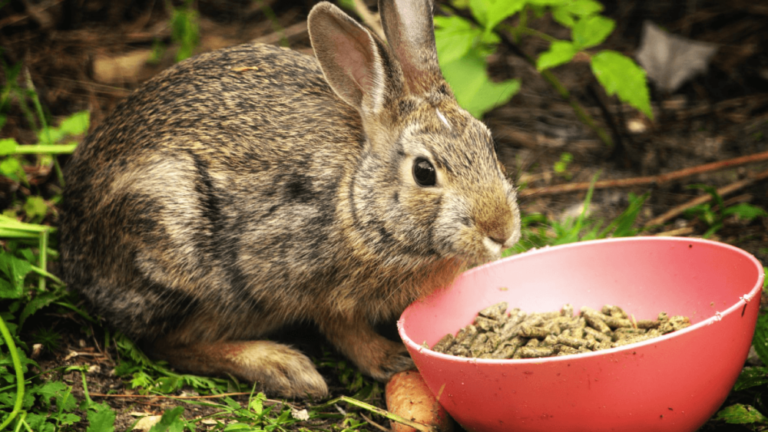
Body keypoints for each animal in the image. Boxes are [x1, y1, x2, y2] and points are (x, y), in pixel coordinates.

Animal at [60, 0, 521, 398]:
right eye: (424, 172)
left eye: (490, 143)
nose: (502, 231)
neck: (357, 199)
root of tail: (74, 254)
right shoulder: (301, 278)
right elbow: (342, 328)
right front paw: (390, 359)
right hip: (178, 250)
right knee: (164, 343)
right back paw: (283, 368)